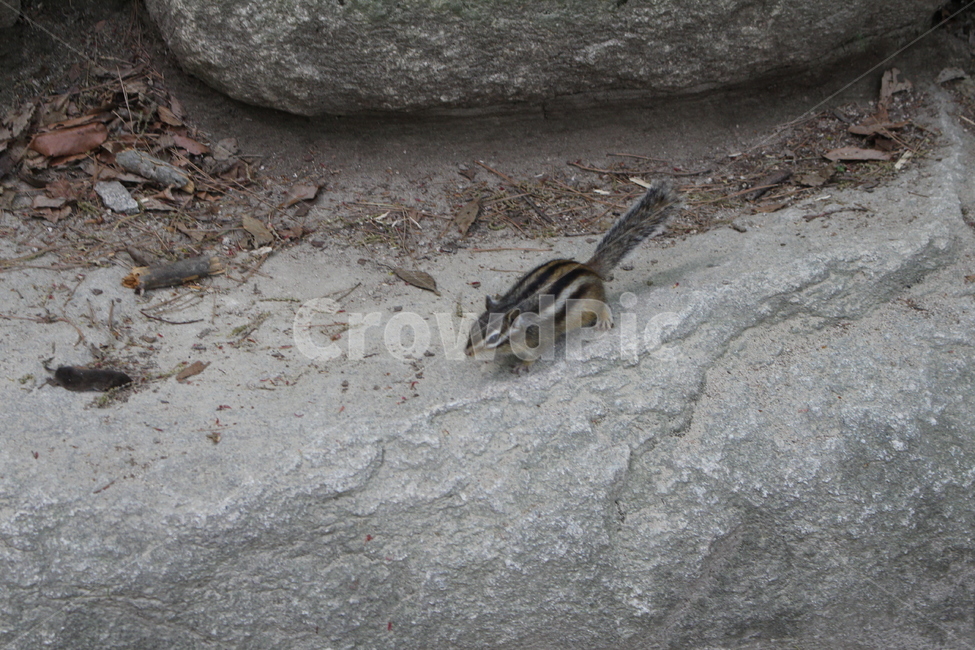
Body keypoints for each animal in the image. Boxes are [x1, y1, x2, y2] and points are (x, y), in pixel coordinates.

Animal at [465, 180, 679, 371]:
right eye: (472, 328)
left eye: (493, 338)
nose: (467, 353)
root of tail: (587, 268)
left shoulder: (538, 339)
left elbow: (536, 353)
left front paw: (523, 365)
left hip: (589, 303)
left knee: (602, 305)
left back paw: (604, 318)